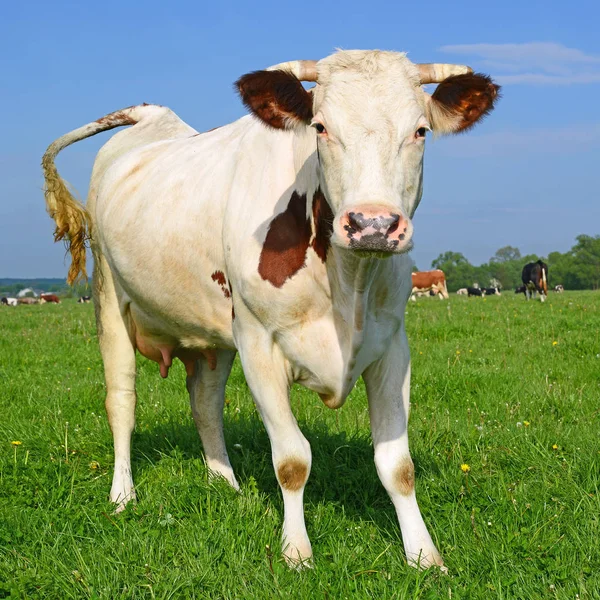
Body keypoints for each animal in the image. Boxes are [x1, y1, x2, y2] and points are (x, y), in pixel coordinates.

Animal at [42, 49, 500, 568]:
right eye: (320, 127)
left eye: (420, 130)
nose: (373, 225)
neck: (349, 286)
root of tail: (150, 117)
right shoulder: (259, 343)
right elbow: (292, 460)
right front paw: (297, 551)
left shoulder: (392, 347)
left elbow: (397, 465)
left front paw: (424, 555)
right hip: (108, 297)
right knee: (122, 401)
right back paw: (123, 495)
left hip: (213, 330)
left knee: (204, 401)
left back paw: (225, 484)